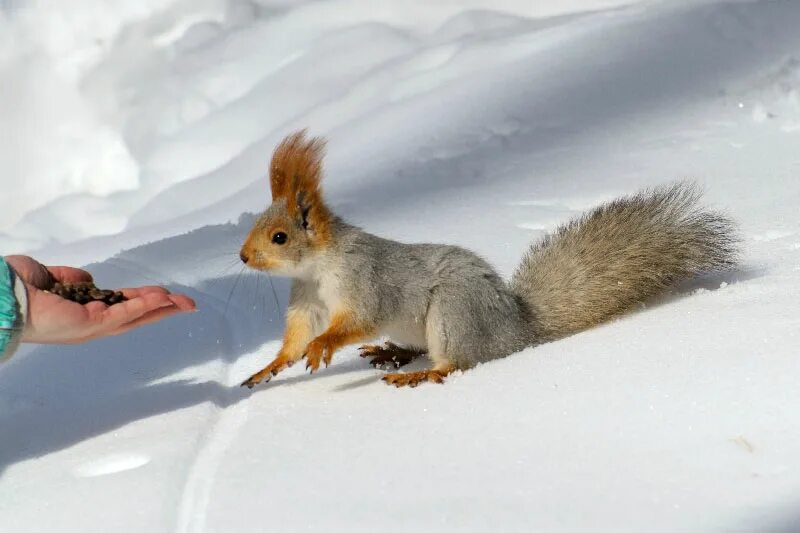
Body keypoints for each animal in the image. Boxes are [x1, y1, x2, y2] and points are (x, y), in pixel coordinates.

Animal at [238, 129, 736, 386]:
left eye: (279, 237)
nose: (242, 257)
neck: (318, 269)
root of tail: (513, 328)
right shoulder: (306, 302)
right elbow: (295, 337)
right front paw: (269, 366)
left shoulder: (364, 279)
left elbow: (356, 319)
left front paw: (323, 347)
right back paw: (393, 353)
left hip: (453, 313)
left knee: (459, 362)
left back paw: (418, 374)